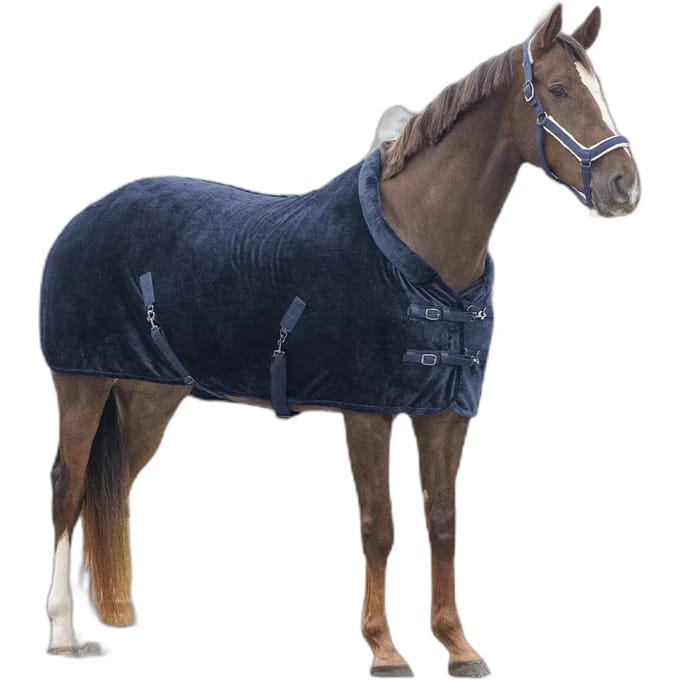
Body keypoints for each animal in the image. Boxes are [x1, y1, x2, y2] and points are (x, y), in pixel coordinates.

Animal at [42, 5, 639, 677]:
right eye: (559, 90)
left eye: (600, 89)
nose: (625, 185)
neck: (419, 247)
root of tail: (84, 220)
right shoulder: (367, 412)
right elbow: (379, 527)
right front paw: (384, 648)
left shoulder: (445, 414)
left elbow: (443, 522)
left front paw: (458, 645)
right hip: (82, 385)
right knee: (69, 488)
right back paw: (64, 630)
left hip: (149, 398)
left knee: (112, 486)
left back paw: (113, 611)